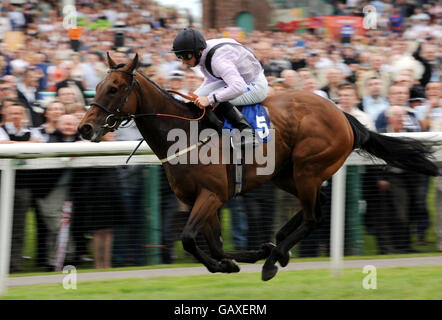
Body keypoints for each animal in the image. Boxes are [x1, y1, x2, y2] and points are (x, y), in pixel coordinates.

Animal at [77, 52, 436, 280]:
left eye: (114, 89)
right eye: (97, 87)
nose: (84, 128)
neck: (183, 133)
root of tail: (342, 114)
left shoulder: (212, 195)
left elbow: (190, 239)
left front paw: (237, 262)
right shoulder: (199, 200)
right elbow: (215, 244)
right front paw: (240, 259)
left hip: (308, 168)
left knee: (314, 215)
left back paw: (274, 260)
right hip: (284, 174)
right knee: (316, 205)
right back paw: (277, 245)